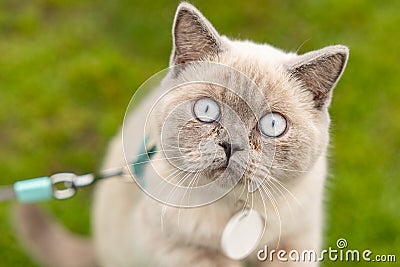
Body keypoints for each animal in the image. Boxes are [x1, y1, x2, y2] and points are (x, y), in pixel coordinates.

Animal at [15, 2, 348, 267]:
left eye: (273, 126)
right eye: (206, 109)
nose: (231, 145)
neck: (230, 210)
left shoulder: (294, 243)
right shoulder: (179, 250)